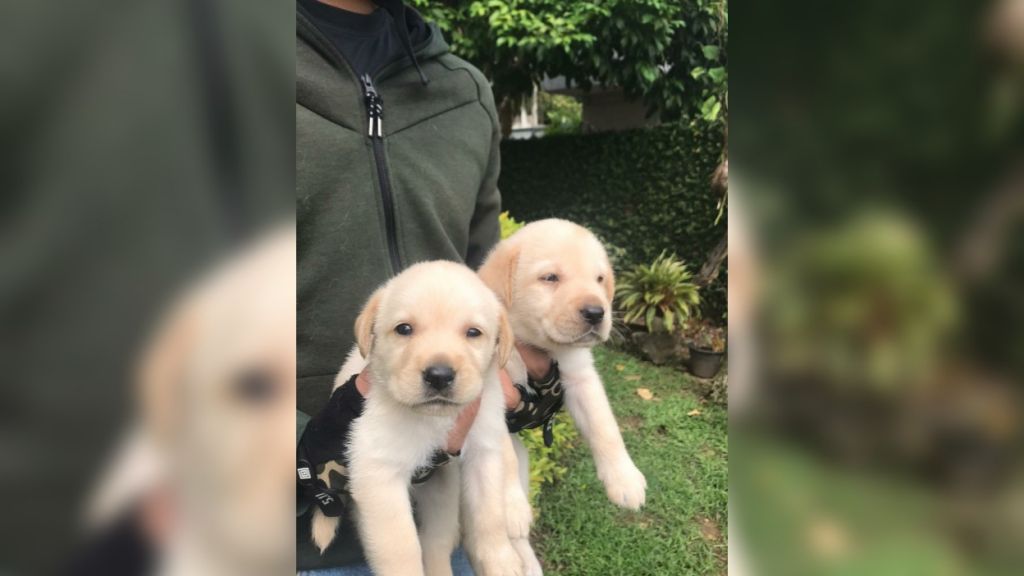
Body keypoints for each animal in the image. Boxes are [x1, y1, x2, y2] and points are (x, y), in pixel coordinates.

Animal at [309, 261, 520, 573]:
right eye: (404, 329)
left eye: (474, 332)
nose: (439, 375)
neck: (434, 419)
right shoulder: (378, 475)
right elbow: (401, 549)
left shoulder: (485, 450)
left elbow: (490, 515)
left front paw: (501, 560)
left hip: (442, 493)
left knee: (437, 541)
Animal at [479, 218, 647, 569]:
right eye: (550, 278)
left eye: (599, 279)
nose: (597, 312)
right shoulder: (488, 394)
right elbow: (502, 456)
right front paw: (511, 507)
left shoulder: (579, 376)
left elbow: (605, 427)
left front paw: (624, 479)